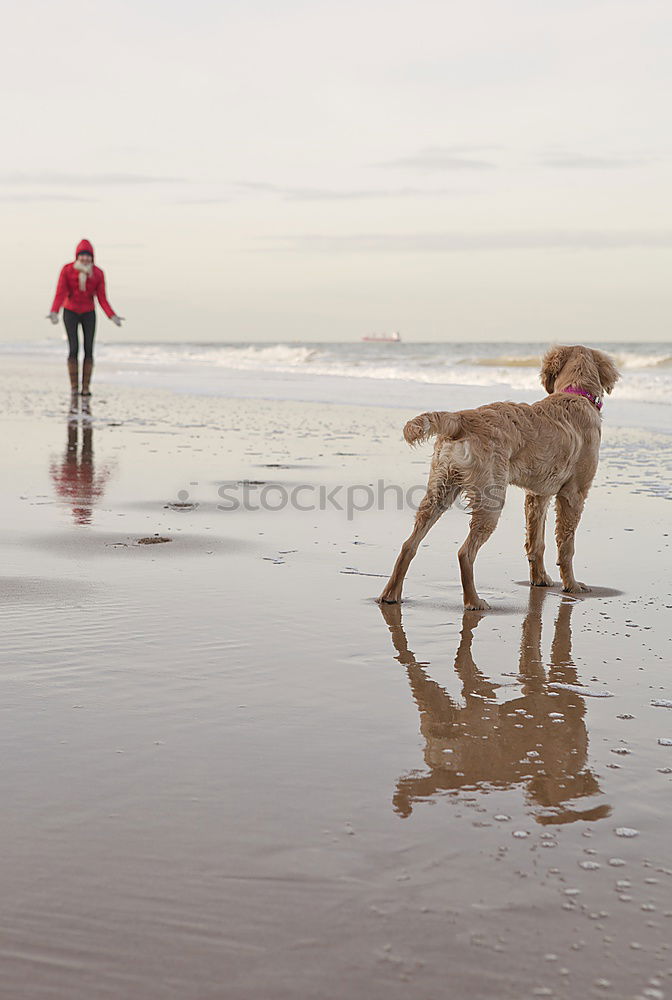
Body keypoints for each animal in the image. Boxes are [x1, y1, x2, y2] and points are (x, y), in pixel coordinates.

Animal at [378, 346, 620, 608]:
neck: (575, 393)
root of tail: (461, 419)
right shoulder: (573, 494)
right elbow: (566, 546)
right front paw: (572, 585)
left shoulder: (538, 495)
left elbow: (536, 543)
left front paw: (540, 579)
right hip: (490, 499)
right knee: (465, 553)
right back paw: (474, 601)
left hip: (440, 490)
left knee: (409, 545)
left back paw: (391, 594)